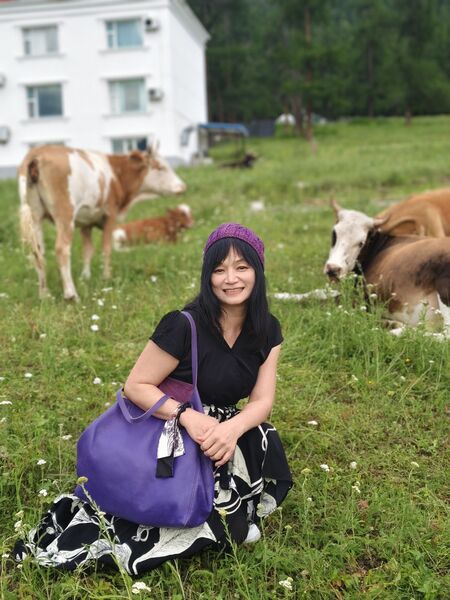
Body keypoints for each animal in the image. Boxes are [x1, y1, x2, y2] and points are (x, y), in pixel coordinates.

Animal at [18, 143, 187, 300]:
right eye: (161, 167)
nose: (183, 187)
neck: (116, 175)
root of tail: (37, 153)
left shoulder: (86, 222)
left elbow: (88, 250)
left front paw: (86, 276)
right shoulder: (110, 215)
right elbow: (106, 248)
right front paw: (106, 277)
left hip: (35, 216)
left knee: (38, 251)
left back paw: (44, 294)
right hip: (65, 214)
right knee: (62, 249)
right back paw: (71, 294)